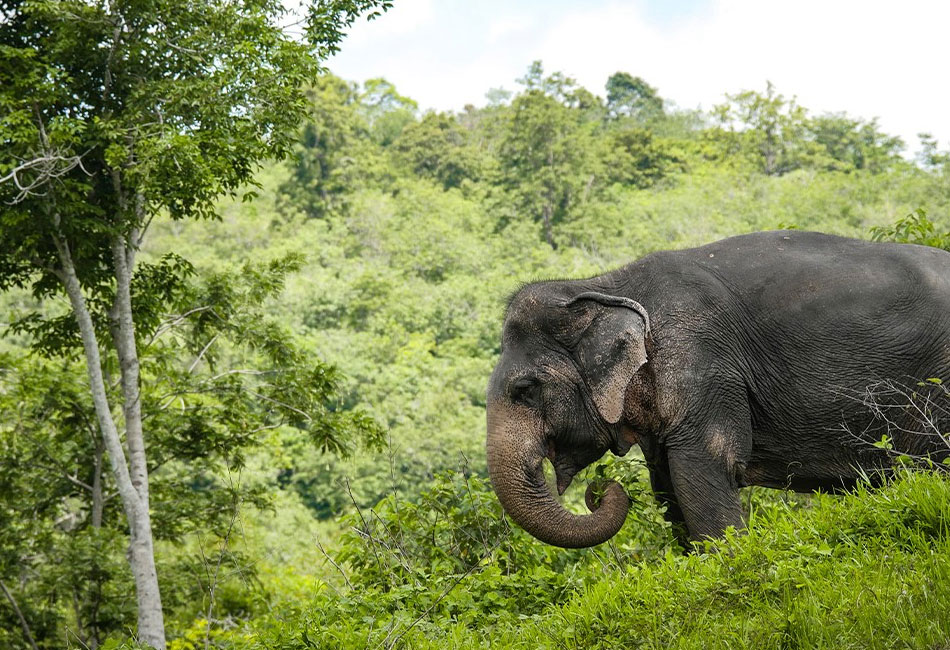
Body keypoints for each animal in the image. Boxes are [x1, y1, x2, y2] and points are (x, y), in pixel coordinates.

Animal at [488, 230, 950, 544]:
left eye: (526, 389)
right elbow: (666, 485)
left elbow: (704, 467)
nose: (601, 491)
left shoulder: (702, 360)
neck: (603, 284)